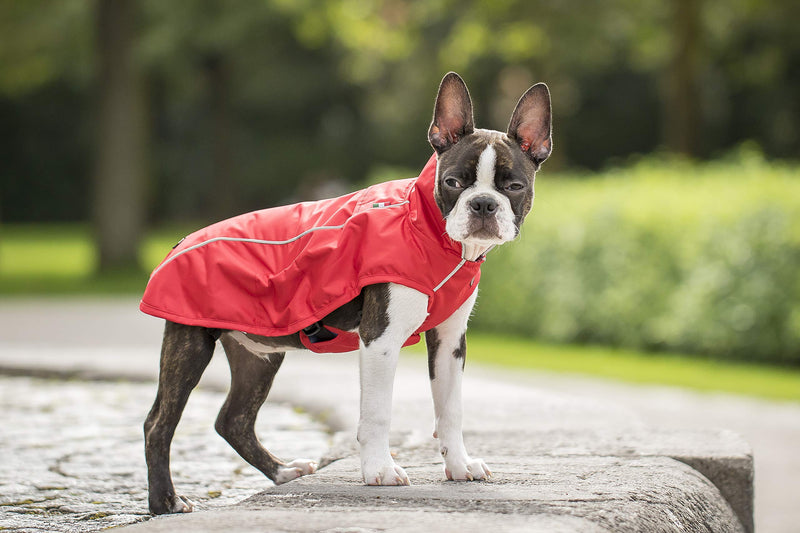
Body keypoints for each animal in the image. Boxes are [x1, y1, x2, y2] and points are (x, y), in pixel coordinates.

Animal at [141, 69, 552, 512]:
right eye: (454, 182)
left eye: (514, 186)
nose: (483, 204)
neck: (431, 233)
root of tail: (181, 241)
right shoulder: (381, 340)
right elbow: (377, 412)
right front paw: (379, 471)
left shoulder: (448, 341)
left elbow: (450, 408)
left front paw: (459, 467)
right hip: (190, 345)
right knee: (158, 423)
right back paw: (166, 501)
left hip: (259, 356)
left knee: (232, 420)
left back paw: (283, 472)